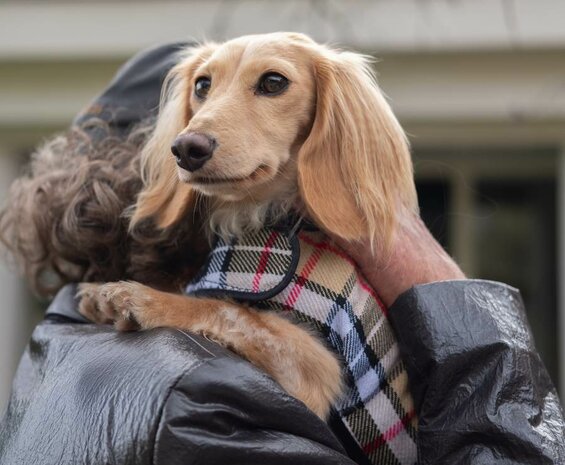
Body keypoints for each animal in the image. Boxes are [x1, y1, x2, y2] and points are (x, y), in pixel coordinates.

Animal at [77, 32, 416, 424]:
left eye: (274, 82)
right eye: (202, 85)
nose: (186, 149)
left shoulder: (317, 368)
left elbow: (227, 309)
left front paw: (144, 299)